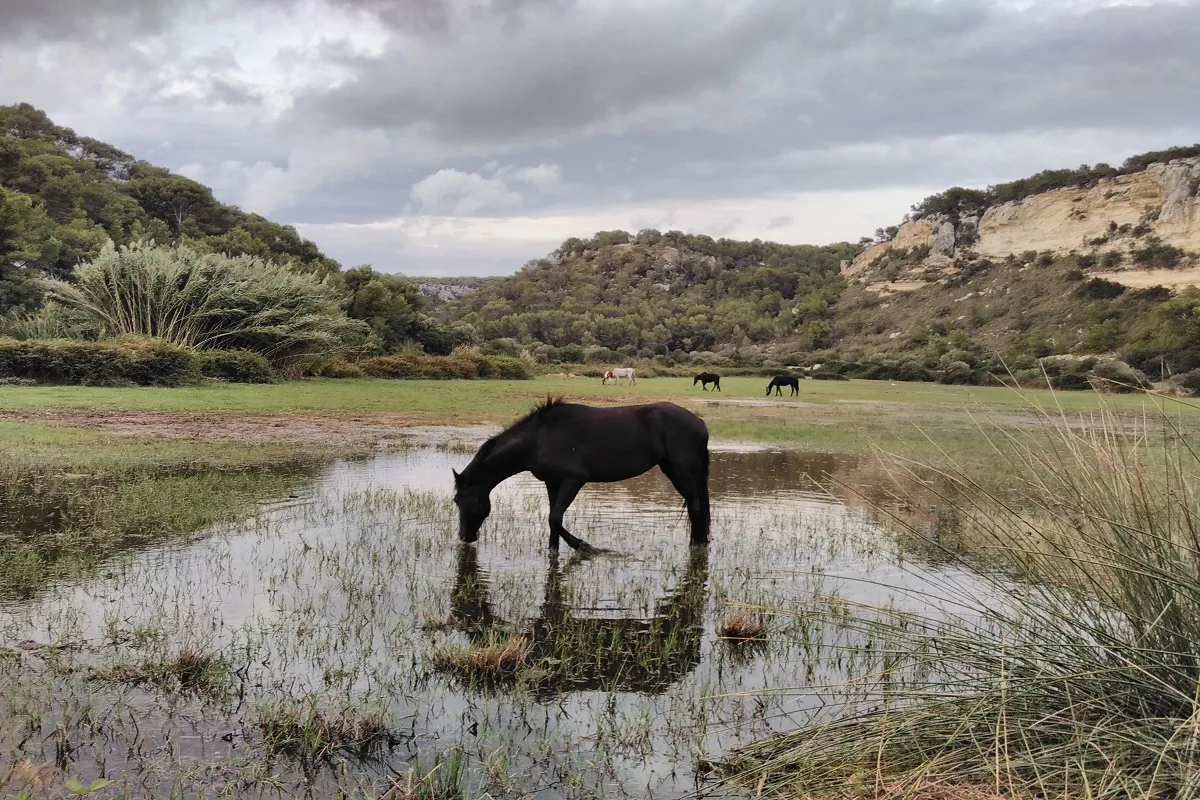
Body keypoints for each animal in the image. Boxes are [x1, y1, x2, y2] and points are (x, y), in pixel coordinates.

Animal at [451, 398, 710, 554]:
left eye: (461, 500)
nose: (465, 537)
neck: (539, 439)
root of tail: (700, 423)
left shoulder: (572, 481)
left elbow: (555, 518)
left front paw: (586, 547)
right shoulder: (552, 482)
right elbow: (552, 520)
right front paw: (553, 552)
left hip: (683, 473)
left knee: (695, 508)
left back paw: (696, 548)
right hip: (673, 471)